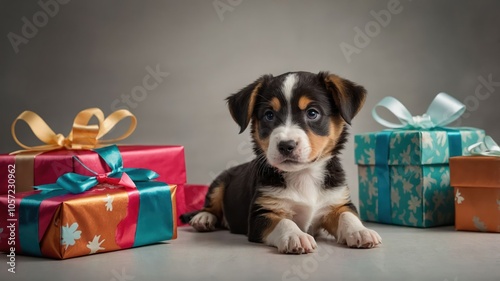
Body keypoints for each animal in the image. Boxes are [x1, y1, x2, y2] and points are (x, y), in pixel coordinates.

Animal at [182, 71, 380, 253]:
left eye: (313, 113)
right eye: (269, 115)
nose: (286, 145)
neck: (304, 175)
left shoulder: (337, 201)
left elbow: (348, 215)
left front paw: (361, 231)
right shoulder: (261, 214)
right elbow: (284, 221)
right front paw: (296, 236)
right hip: (220, 181)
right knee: (210, 205)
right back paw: (203, 218)